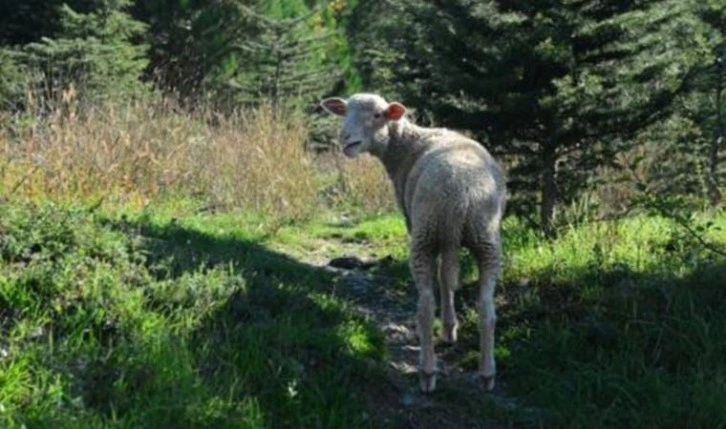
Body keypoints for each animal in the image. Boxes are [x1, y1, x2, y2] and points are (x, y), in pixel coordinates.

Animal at [322, 93, 510, 392]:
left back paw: (427, 372)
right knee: (486, 307)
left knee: (425, 305)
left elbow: (441, 280)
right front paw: (450, 329)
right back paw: (487, 373)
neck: (406, 146)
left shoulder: (414, 224)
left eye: (377, 115)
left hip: (426, 232)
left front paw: (446, 330)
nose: (345, 138)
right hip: (486, 236)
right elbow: (447, 280)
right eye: (345, 112)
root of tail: (460, 194)